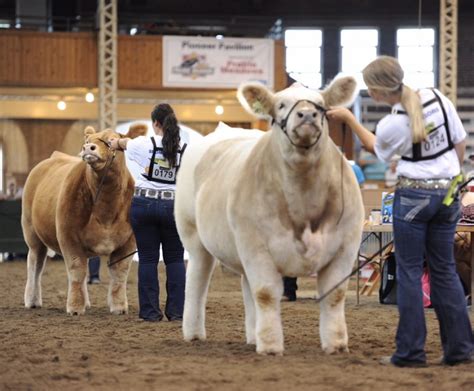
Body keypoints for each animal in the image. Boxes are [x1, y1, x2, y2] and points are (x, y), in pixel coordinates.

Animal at [21, 125, 146, 316]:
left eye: (111, 140)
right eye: (87, 141)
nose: (88, 148)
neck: (106, 208)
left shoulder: (129, 241)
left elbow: (119, 274)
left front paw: (119, 307)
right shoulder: (69, 237)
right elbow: (77, 271)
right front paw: (74, 307)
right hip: (32, 233)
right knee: (35, 264)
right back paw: (32, 300)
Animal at [176, 76, 364, 356]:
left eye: (321, 105)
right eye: (281, 105)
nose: (306, 114)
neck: (303, 200)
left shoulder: (346, 245)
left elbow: (335, 294)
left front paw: (337, 345)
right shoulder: (255, 244)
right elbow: (265, 293)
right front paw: (271, 346)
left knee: (246, 287)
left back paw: (253, 335)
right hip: (193, 236)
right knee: (197, 280)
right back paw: (194, 333)